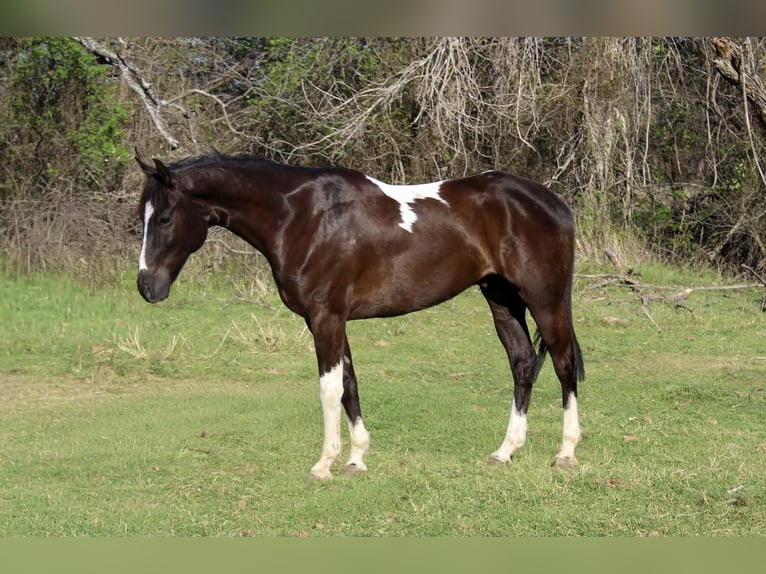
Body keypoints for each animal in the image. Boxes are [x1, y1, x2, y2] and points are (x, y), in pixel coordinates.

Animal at [135, 151, 585, 480]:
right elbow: (349, 384)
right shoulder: (328, 320)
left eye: (164, 217)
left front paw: (324, 465)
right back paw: (505, 451)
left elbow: (330, 389)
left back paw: (565, 452)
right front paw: (355, 459)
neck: (302, 218)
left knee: (562, 363)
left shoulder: (325, 318)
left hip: (543, 300)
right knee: (522, 363)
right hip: (501, 299)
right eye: (142, 217)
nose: (146, 287)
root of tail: (551, 202)